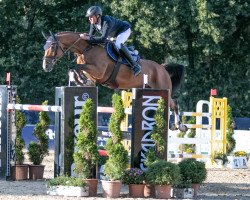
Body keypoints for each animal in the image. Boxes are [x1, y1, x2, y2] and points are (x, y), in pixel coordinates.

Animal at [42, 31, 187, 131]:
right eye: (45, 46)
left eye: (53, 46)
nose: (45, 66)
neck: (85, 49)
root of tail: (162, 68)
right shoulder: (92, 73)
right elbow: (74, 69)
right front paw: (82, 81)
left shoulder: (99, 71)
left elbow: (76, 67)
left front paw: (82, 80)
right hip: (152, 91)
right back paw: (171, 125)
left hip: (162, 88)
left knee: (174, 103)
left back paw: (179, 126)